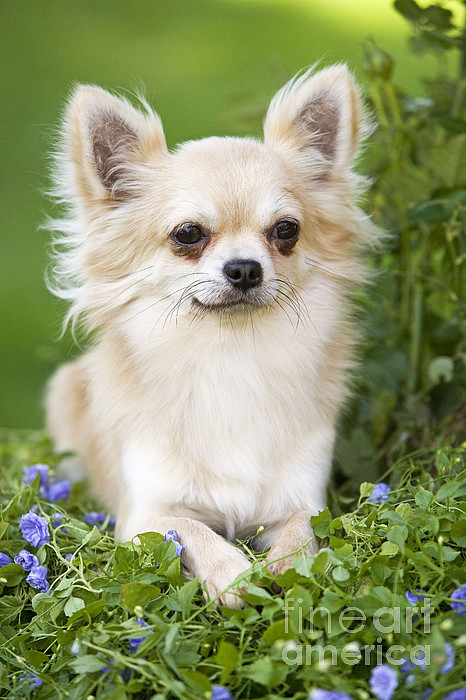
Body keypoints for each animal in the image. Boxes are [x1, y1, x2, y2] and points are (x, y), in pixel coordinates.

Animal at [46, 65, 374, 608]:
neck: (230, 356)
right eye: (187, 235)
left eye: (286, 230)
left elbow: (302, 531)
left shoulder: (302, 499)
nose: (244, 268)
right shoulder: (146, 513)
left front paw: (287, 567)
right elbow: (192, 529)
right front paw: (233, 574)